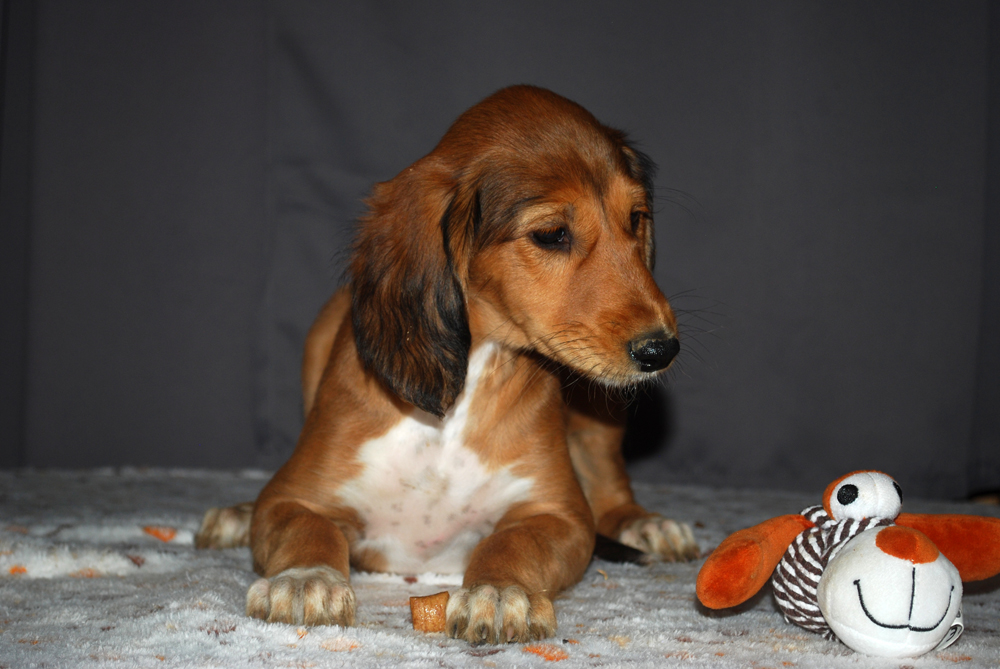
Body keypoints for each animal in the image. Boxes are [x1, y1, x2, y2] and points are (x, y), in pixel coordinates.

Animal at [196, 85, 698, 644]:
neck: (459, 395)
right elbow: (308, 527)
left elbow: (512, 541)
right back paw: (237, 514)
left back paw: (643, 522)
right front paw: (308, 579)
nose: (661, 350)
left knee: (608, 482)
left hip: (598, 407)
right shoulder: (291, 498)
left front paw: (499, 591)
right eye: (551, 234)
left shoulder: (559, 515)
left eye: (636, 219)